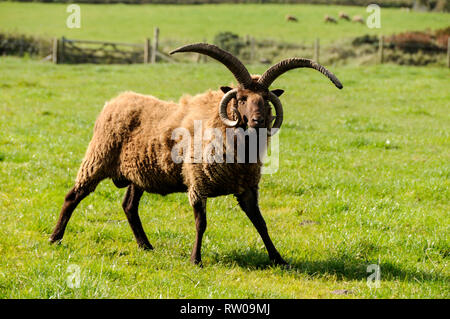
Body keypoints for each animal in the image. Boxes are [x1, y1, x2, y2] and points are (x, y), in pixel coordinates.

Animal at [49, 43, 342, 266]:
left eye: (266, 100)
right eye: (242, 98)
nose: (258, 121)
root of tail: (115, 101)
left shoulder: (247, 188)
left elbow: (261, 223)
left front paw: (278, 259)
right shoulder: (197, 183)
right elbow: (201, 224)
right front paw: (195, 260)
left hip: (137, 173)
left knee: (129, 206)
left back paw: (146, 246)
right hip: (96, 160)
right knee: (73, 196)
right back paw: (55, 238)